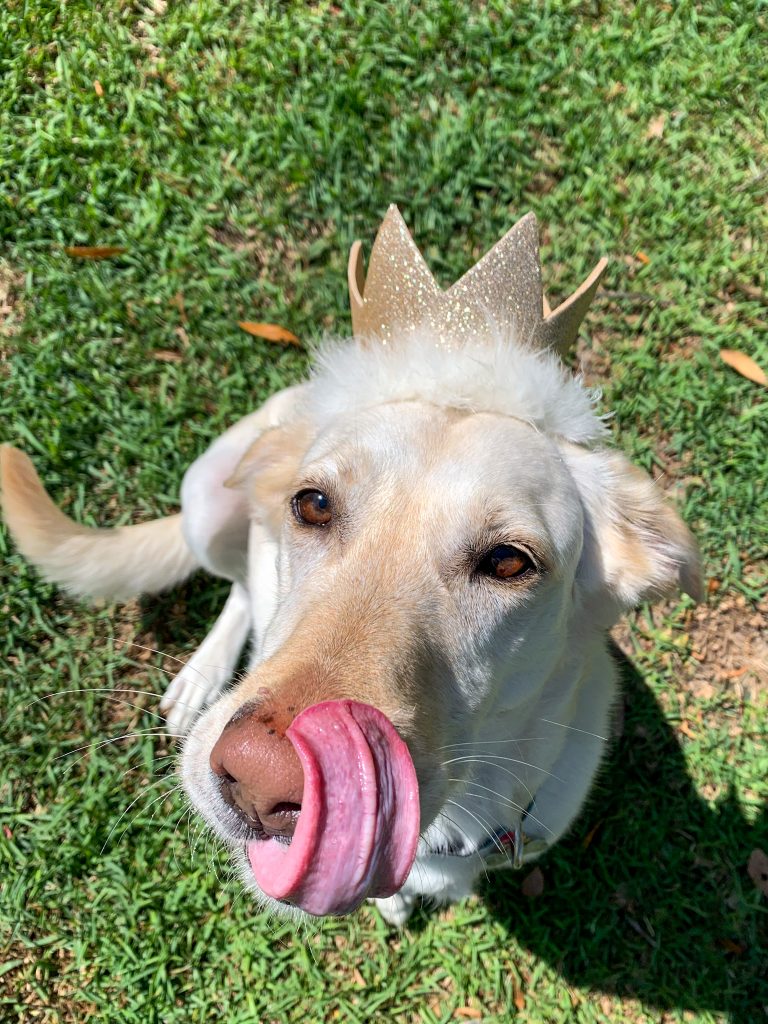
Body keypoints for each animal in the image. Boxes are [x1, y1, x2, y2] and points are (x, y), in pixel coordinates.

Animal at [0, 209, 700, 929]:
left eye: (509, 562)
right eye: (312, 504)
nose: (262, 779)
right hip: (206, 498)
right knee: (242, 588)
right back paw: (202, 676)